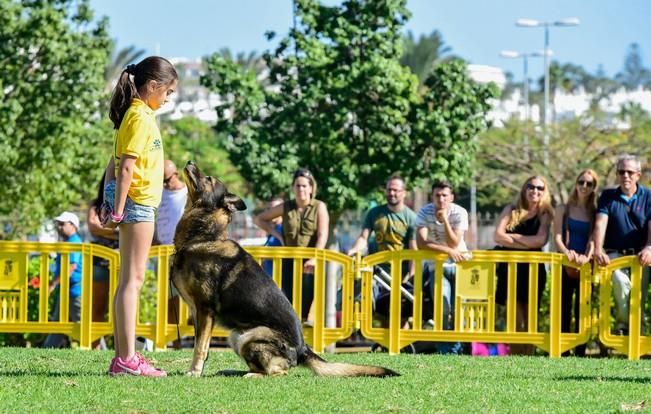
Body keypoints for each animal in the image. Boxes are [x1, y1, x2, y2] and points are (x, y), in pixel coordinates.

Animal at [172, 162, 398, 378]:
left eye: (208, 178)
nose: (190, 161)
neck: (204, 237)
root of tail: (303, 349)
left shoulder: (205, 309)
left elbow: (200, 347)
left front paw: (194, 372)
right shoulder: (197, 312)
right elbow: (201, 344)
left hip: (248, 337)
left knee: (279, 372)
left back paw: (252, 375)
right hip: (236, 335)